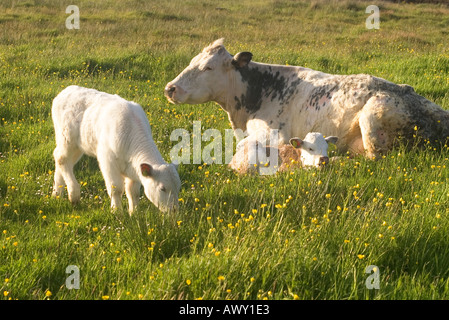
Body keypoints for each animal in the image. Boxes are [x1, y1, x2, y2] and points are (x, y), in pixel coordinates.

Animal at [51, 86, 180, 214]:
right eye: (162, 188)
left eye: (178, 187)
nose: (174, 210)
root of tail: (67, 90)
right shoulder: (108, 161)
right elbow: (116, 188)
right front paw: (117, 211)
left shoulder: (134, 169)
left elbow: (133, 191)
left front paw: (134, 212)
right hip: (66, 138)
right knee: (61, 159)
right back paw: (73, 194)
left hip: (79, 146)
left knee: (62, 160)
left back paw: (57, 193)